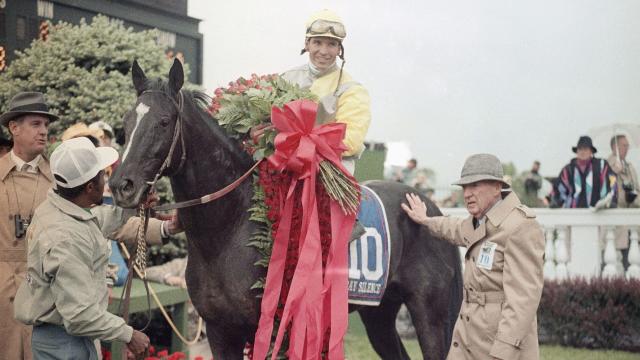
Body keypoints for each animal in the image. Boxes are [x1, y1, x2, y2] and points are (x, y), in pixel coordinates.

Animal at [109, 57, 460, 358]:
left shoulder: (276, 331)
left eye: (164, 121)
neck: (229, 230)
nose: (121, 185)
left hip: (432, 316)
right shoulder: (220, 330)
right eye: (125, 121)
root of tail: (433, 209)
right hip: (380, 315)